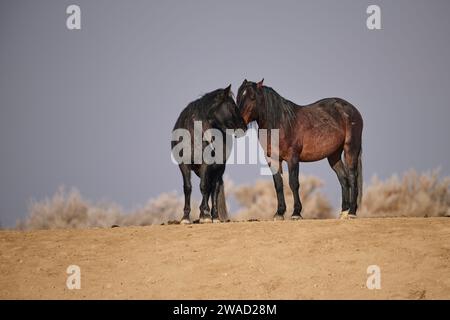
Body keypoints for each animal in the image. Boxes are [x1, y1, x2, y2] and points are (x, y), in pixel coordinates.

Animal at [171, 86, 246, 224]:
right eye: (233, 105)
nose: (244, 126)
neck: (194, 135)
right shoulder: (184, 165)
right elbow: (187, 187)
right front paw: (185, 217)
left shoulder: (206, 164)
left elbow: (204, 187)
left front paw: (205, 215)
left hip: (218, 169)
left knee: (214, 188)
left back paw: (213, 216)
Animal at [236, 79, 362, 220]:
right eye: (238, 97)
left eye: (252, 97)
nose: (238, 126)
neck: (281, 123)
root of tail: (351, 109)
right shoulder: (272, 159)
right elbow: (278, 184)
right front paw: (279, 213)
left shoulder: (293, 158)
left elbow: (293, 183)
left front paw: (296, 213)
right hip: (333, 155)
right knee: (343, 179)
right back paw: (343, 213)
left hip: (351, 148)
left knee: (352, 176)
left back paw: (352, 212)